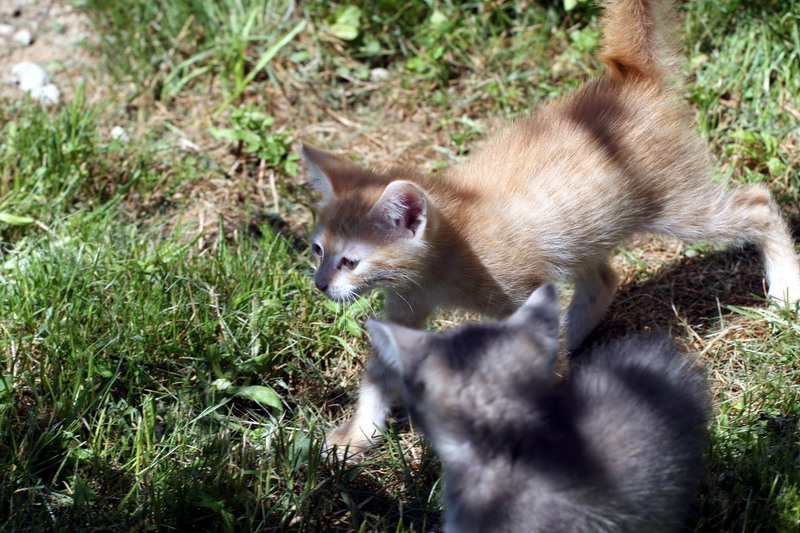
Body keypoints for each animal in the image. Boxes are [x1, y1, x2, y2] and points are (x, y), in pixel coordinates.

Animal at [302, 1, 800, 458]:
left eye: (351, 261)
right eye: (317, 250)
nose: (320, 284)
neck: (447, 255)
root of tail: (628, 80)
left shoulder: (518, 289)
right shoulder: (405, 307)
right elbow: (379, 377)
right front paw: (356, 438)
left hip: (679, 208)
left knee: (758, 202)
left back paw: (785, 286)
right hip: (583, 232)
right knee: (603, 279)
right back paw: (571, 338)